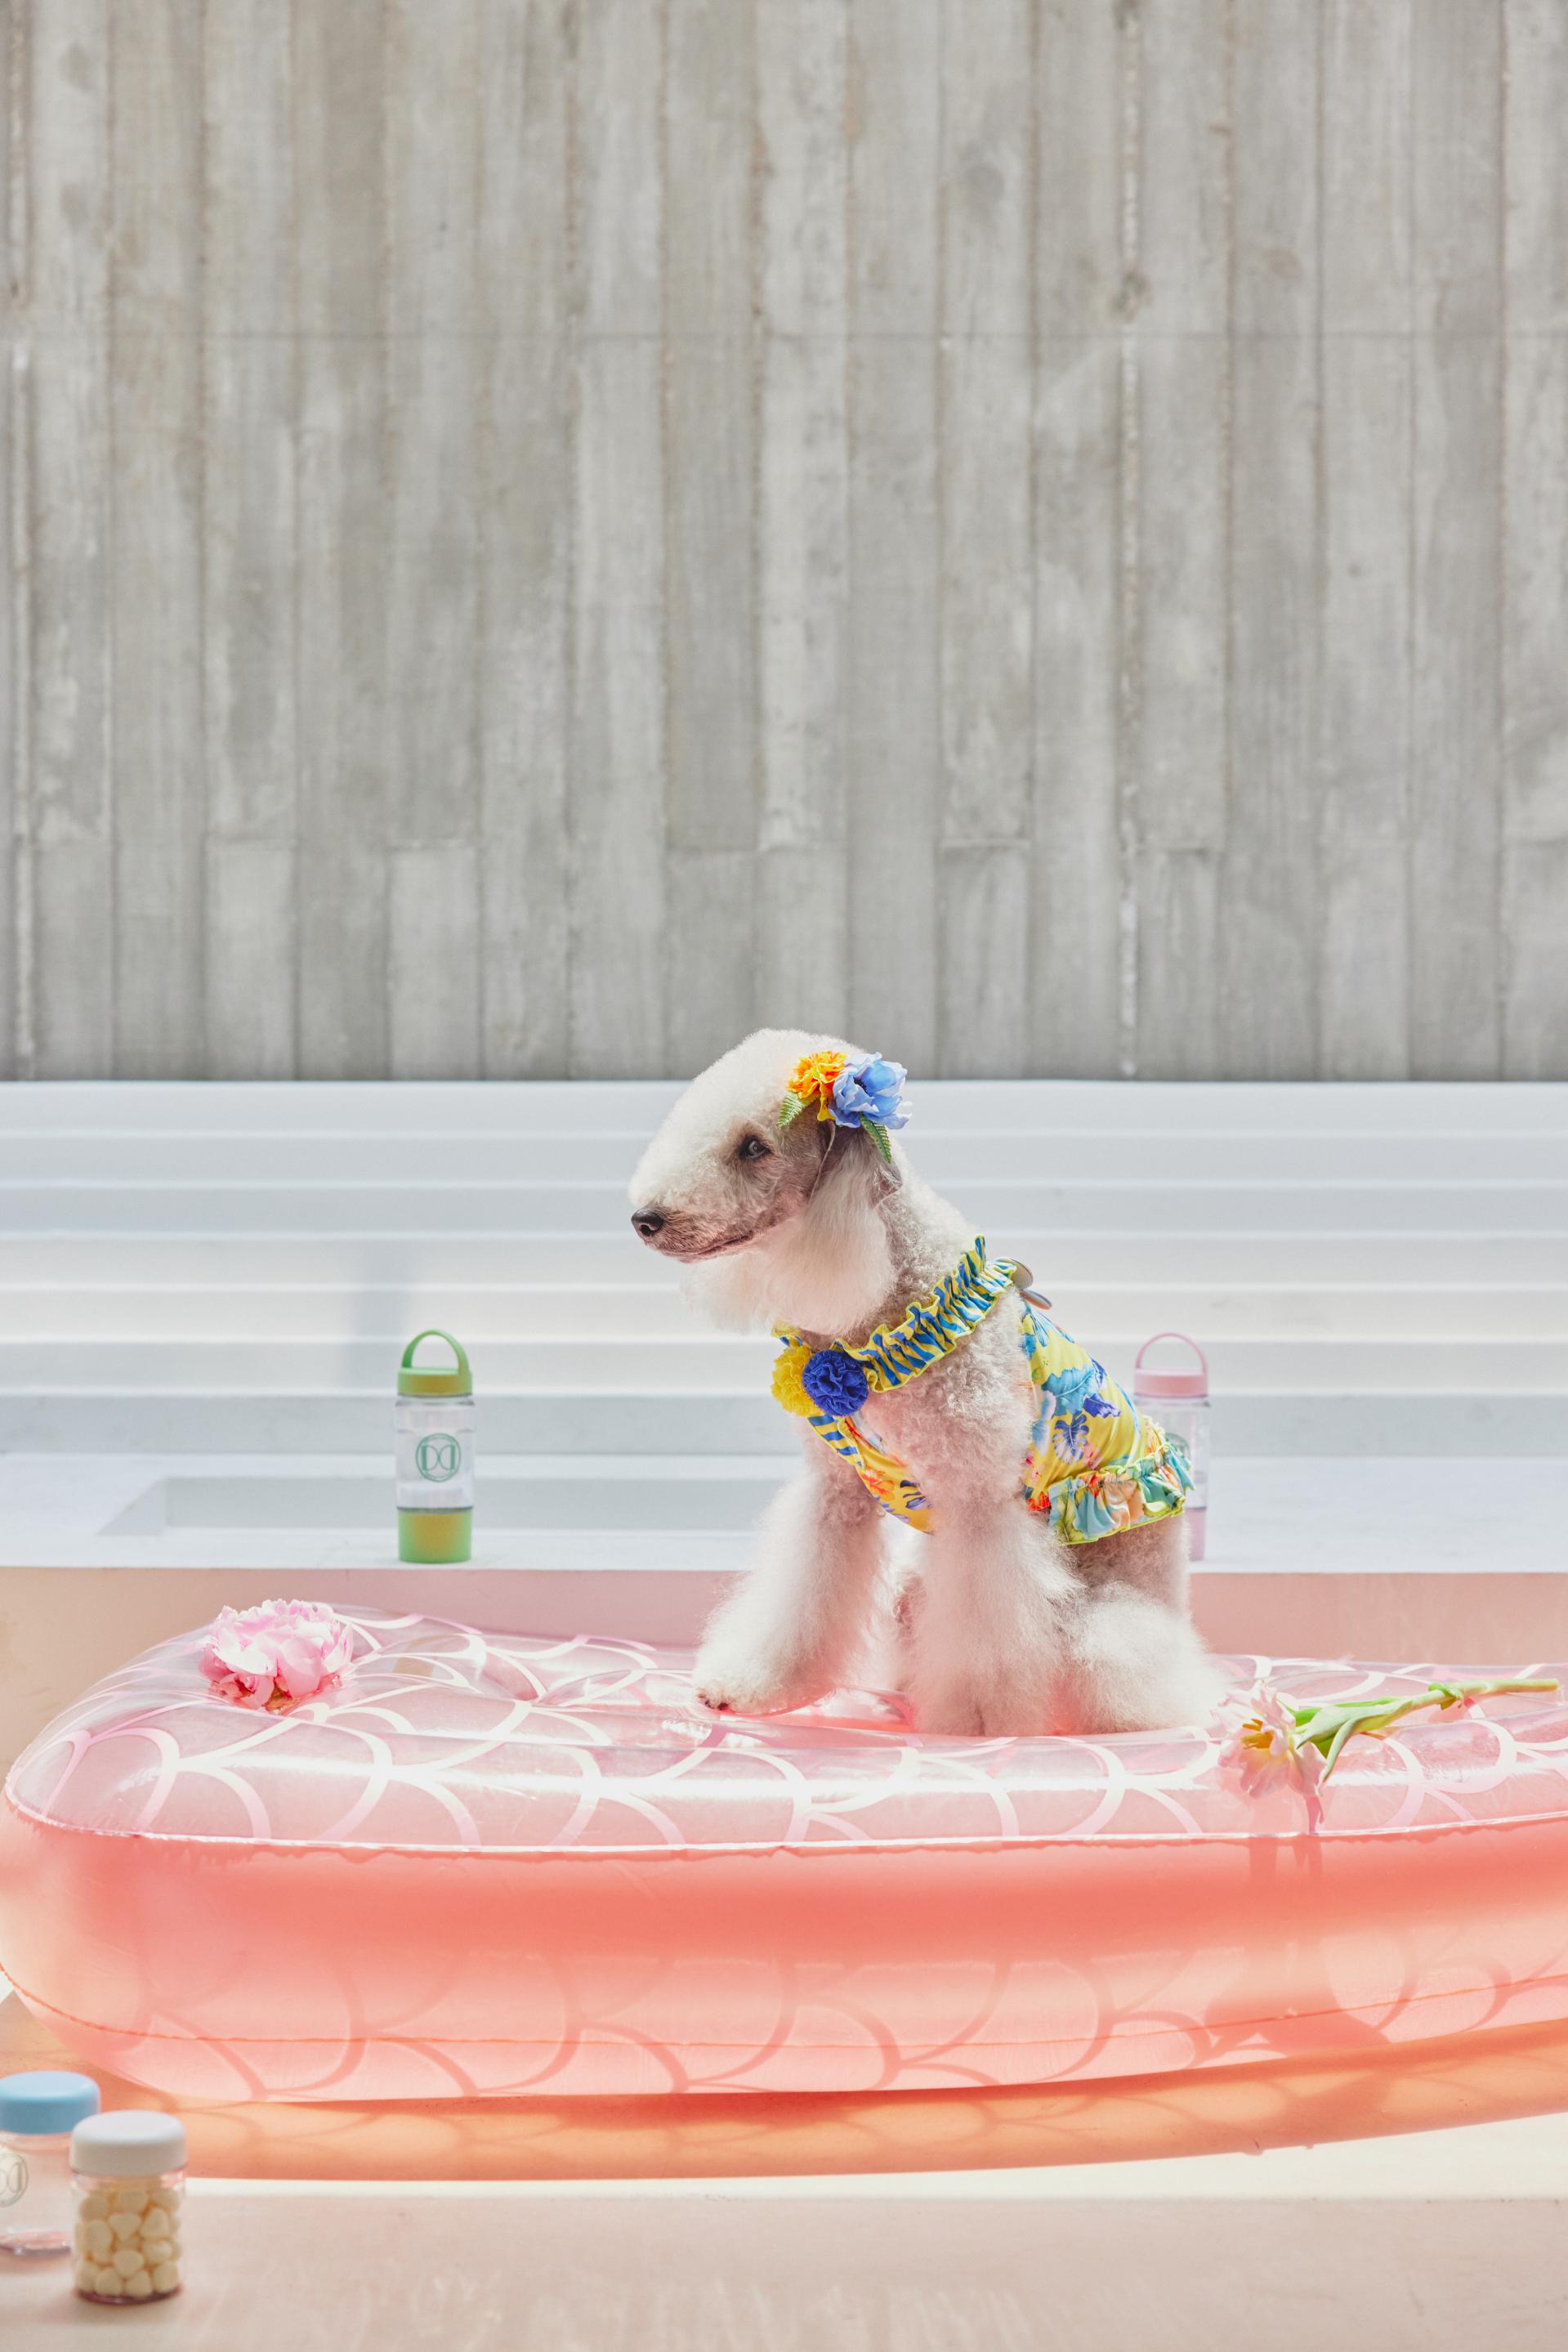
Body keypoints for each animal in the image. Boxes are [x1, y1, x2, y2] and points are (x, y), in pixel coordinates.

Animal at [630, 1028, 1218, 1738]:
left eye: (751, 1147)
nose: (645, 1219)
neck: (886, 1302)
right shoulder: (834, 1494)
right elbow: (802, 1598)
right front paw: (751, 1686)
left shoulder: (977, 1505)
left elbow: (984, 1635)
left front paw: (976, 1720)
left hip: (1111, 1589)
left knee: (1120, 1653)